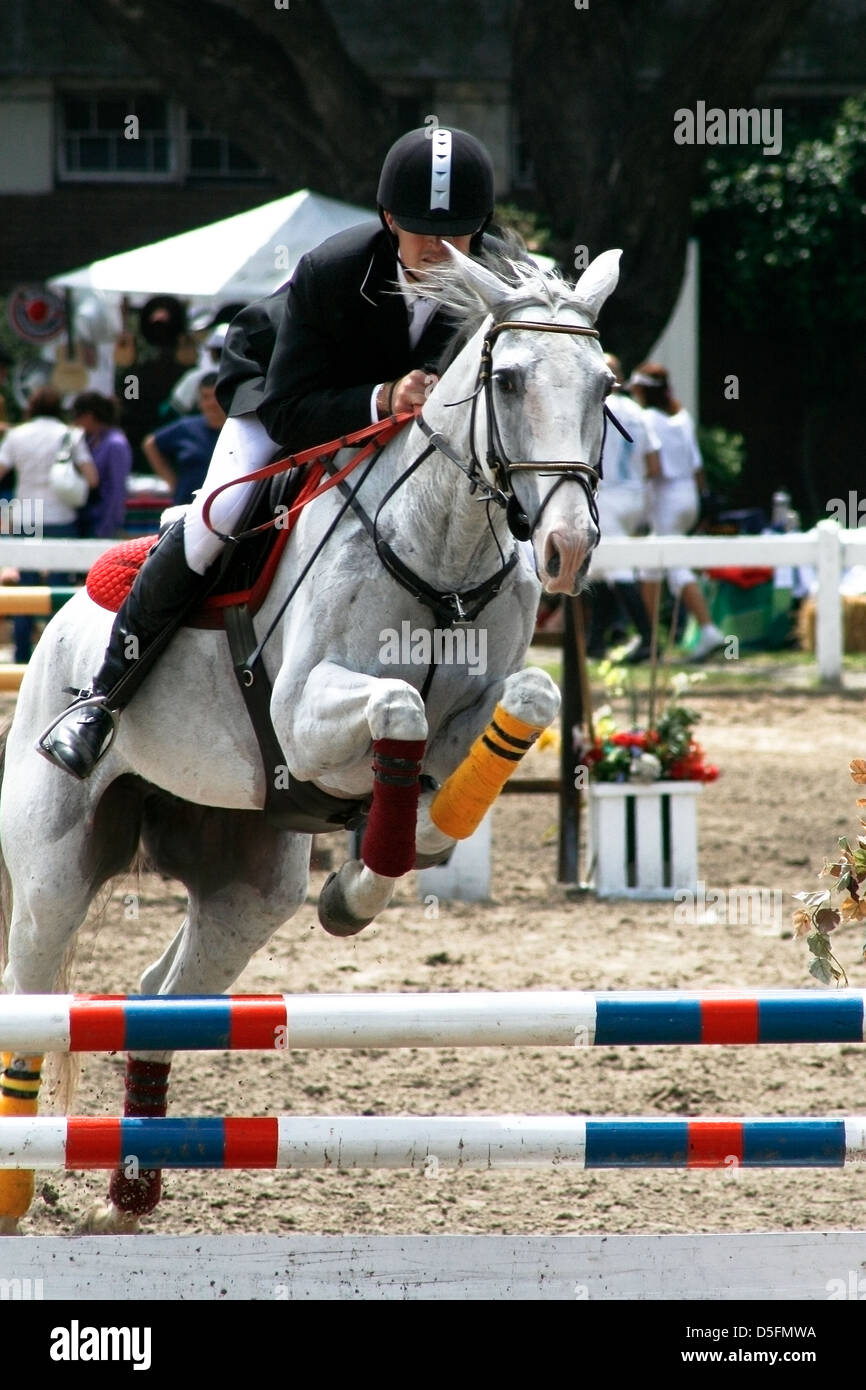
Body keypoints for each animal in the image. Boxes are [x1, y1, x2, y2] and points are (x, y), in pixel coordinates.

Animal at [0, 244, 621, 1232]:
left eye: (604, 384)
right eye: (512, 378)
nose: (567, 548)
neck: (442, 553)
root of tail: (60, 621)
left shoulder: (479, 704)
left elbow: (515, 704)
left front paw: (388, 861)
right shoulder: (303, 713)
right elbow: (398, 711)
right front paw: (368, 876)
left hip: (245, 887)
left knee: (158, 1001)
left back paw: (129, 1194)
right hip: (55, 868)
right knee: (32, 1000)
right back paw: (22, 1188)